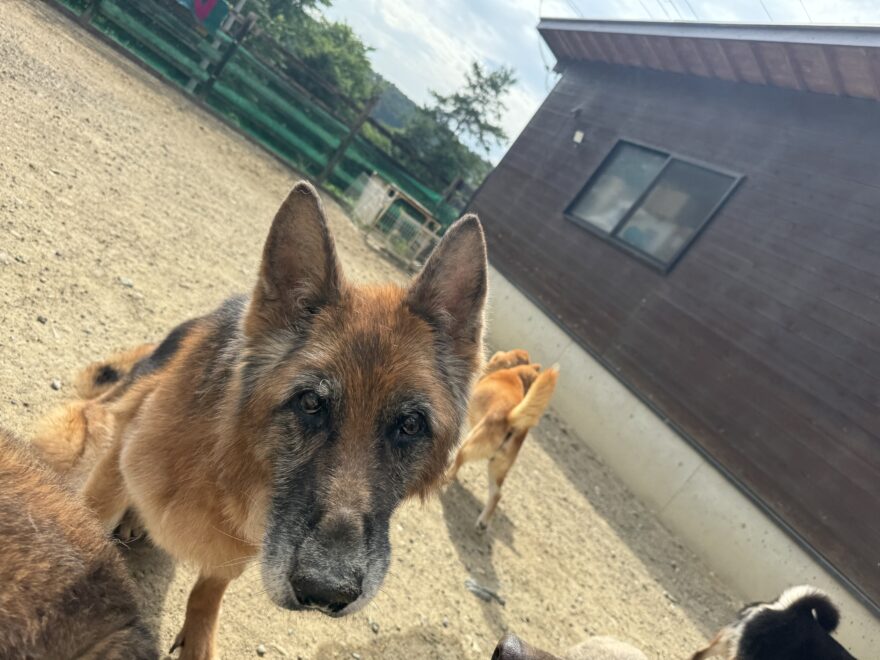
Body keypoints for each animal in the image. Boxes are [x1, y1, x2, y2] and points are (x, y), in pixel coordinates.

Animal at [29, 182, 488, 660]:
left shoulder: (247, 547)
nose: (326, 591)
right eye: (310, 403)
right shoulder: (114, 468)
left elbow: (210, 587)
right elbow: (92, 542)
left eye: (410, 425)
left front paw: (199, 636)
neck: (223, 466)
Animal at [446, 348, 559, 529]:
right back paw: (483, 523)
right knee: (497, 495)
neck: (516, 374)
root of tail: (511, 419)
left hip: (470, 446)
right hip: (497, 468)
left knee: (456, 467)